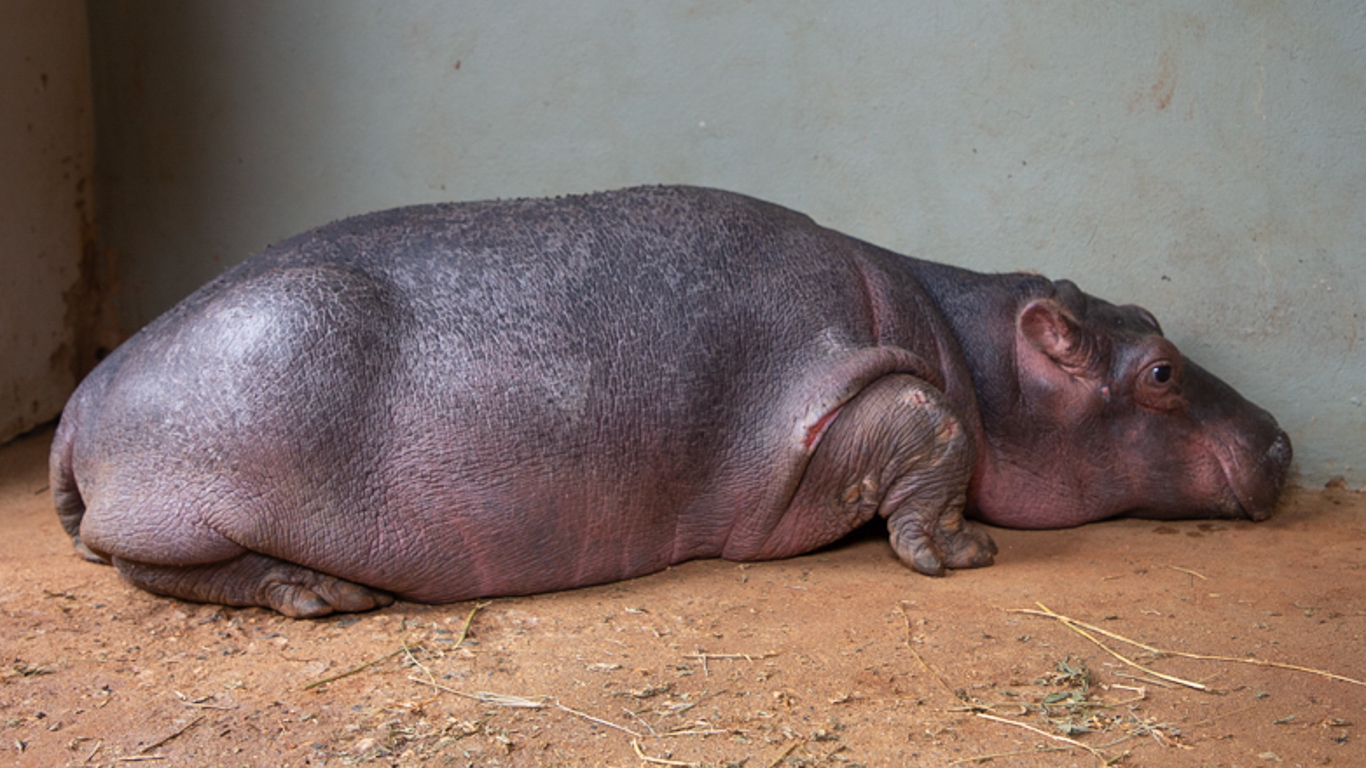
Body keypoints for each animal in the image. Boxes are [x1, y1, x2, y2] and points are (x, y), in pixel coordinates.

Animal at [50, 185, 1289, 614]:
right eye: (1160, 371)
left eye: (1151, 317)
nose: (1281, 438)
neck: (969, 345)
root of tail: (82, 394)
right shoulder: (839, 394)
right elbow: (931, 427)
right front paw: (962, 557)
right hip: (192, 502)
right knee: (154, 568)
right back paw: (319, 594)